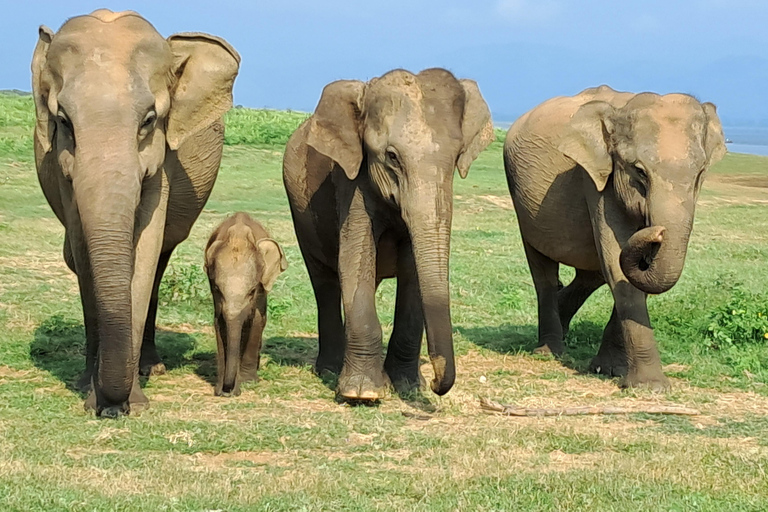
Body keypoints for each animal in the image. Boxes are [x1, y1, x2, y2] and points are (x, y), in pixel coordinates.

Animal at [31, 9, 240, 416]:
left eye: (148, 120)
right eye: (63, 121)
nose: (114, 407)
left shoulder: (165, 164)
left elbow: (146, 250)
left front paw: (133, 402)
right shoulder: (63, 170)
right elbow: (83, 250)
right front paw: (93, 394)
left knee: (160, 263)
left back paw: (151, 367)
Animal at [204, 212, 288, 396]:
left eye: (252, 291)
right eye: (217, 289)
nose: (228, 390)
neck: (238, 236)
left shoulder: (261, 288)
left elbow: (256, 320)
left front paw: (248, 382)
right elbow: (219, 322)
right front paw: (221, 389)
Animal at [284, 67, 496, 400]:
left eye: (457, 157)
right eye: (392, 157)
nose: (434, 383)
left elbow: (412, 268)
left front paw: (407, 386)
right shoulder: (351, 179)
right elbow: (356, 256)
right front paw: (362, 394)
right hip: (300, 210)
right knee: (324, 281)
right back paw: (329, 370)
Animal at [504, 86, 728, 390]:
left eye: (700, 173)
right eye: (639, 171)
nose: (656, 232)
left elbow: (632, 272)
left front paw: (610, 369)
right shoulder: (598, 180)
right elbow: (617, 264)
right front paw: (650, 387)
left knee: (591, 274)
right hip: (522, 201)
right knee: (544, 271)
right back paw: (550, 350)